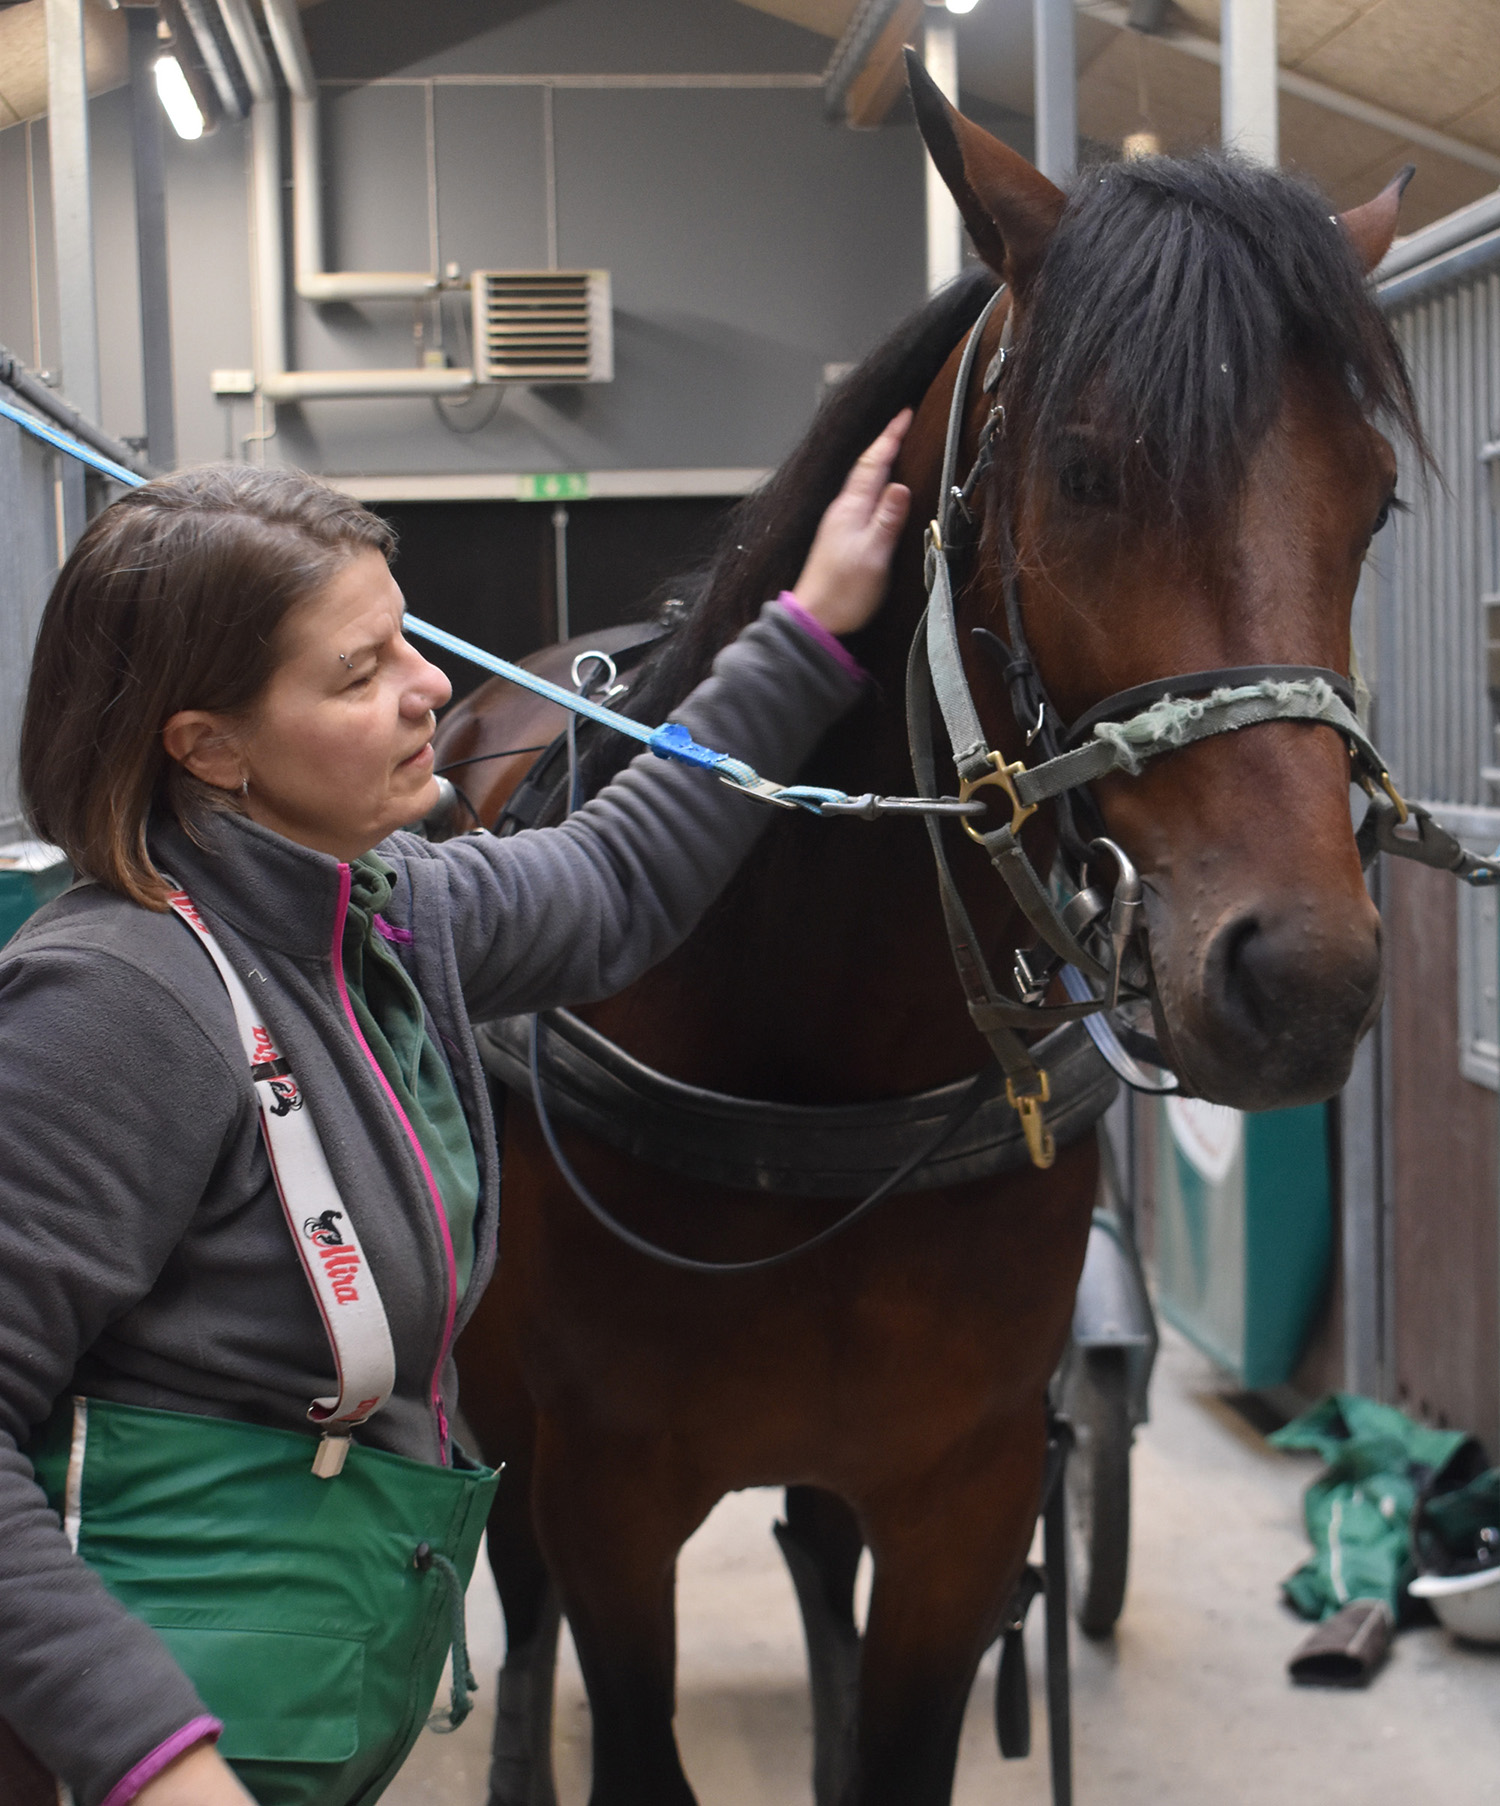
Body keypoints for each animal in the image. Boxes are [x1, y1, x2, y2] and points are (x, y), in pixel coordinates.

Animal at [442, 70, 1422, 1806]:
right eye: (1088, 472)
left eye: (1369, 500)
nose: (1302, 977)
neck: (814, 1059)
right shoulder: (611, 1495)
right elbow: (614, 1694)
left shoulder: (960, 1500)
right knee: (522, 1579)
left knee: (813, 1555)